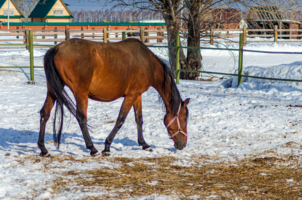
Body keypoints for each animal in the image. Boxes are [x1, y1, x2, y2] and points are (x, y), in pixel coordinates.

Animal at [37, 38, 189, 157]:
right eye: (184, 119)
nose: (183, 144)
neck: (148, 63)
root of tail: (56, 48)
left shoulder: (137, 95)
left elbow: (139, 119)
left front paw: (144, 144)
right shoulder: (131, 95)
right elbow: (120, 120)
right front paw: (107, 147)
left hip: (53, 90)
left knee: (45, 113)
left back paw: (43, 149)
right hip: (80, 93)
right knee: (81, 118)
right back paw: (92, 149)